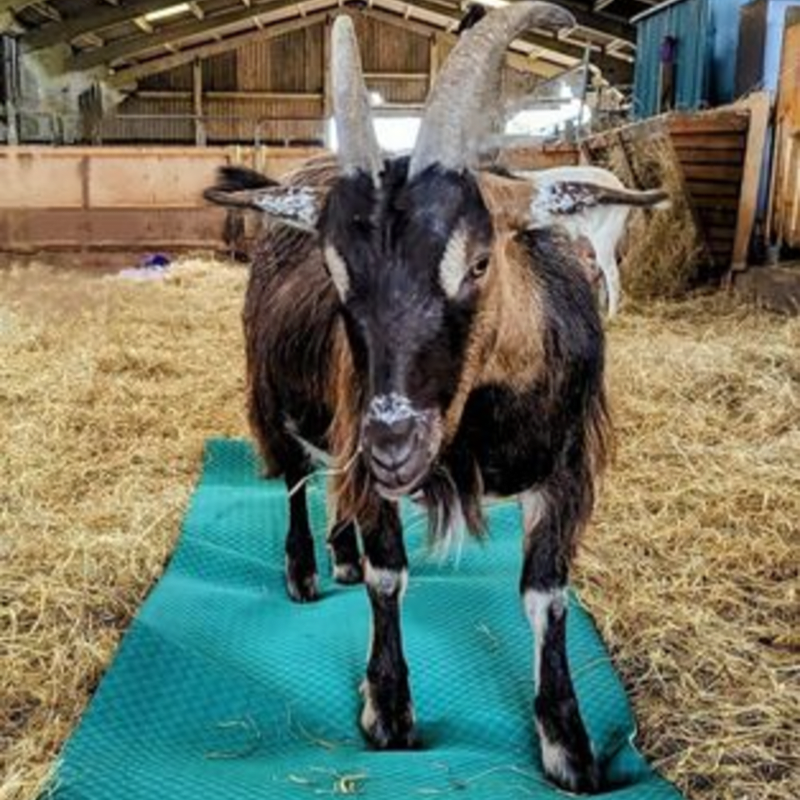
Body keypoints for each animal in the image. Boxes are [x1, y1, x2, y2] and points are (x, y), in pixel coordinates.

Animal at [204, 4, 639, 792]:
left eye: (479, 261)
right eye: (336, 272)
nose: (394, 446)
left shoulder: (564, 470)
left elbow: (546, 593)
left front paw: (568, 745)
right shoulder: (362, 430)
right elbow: (388, 575)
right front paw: (389, 710)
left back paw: (338, 554)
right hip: (278, 397)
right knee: (296, 478)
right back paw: (306, 570)